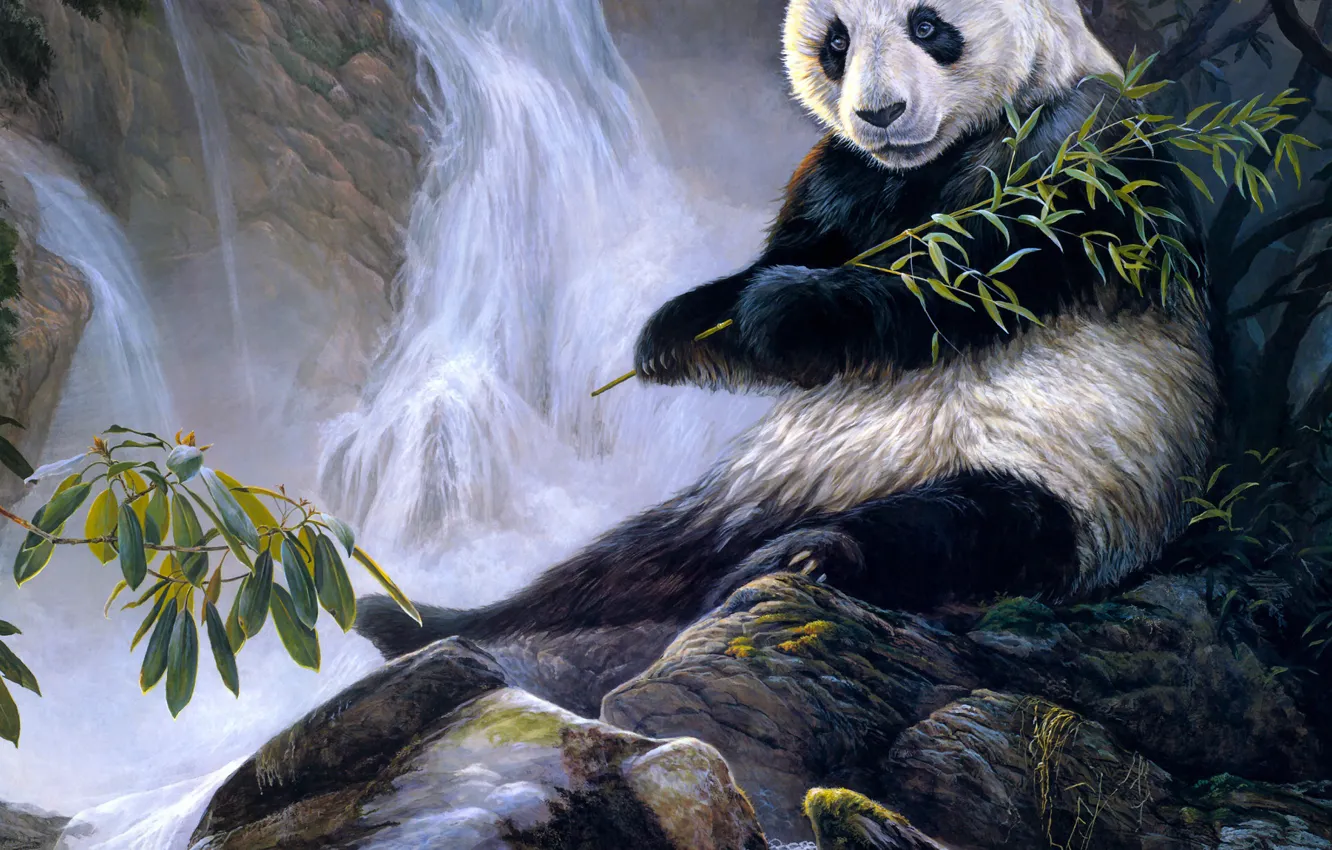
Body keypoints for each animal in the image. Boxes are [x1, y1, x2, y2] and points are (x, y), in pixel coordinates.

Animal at [356, 0, 1217, 684]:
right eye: (835, 42)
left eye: (928, 25)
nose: (879, 113)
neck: (932, 160)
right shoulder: (841, 175)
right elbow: (795, 255)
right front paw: (678, 330)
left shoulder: (1080, 150)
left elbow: (963, 280)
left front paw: (780, 309)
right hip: (752, 484)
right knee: (627, 562)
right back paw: (421, 620)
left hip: (1070, 479)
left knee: (960, 529)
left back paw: (813, 557)